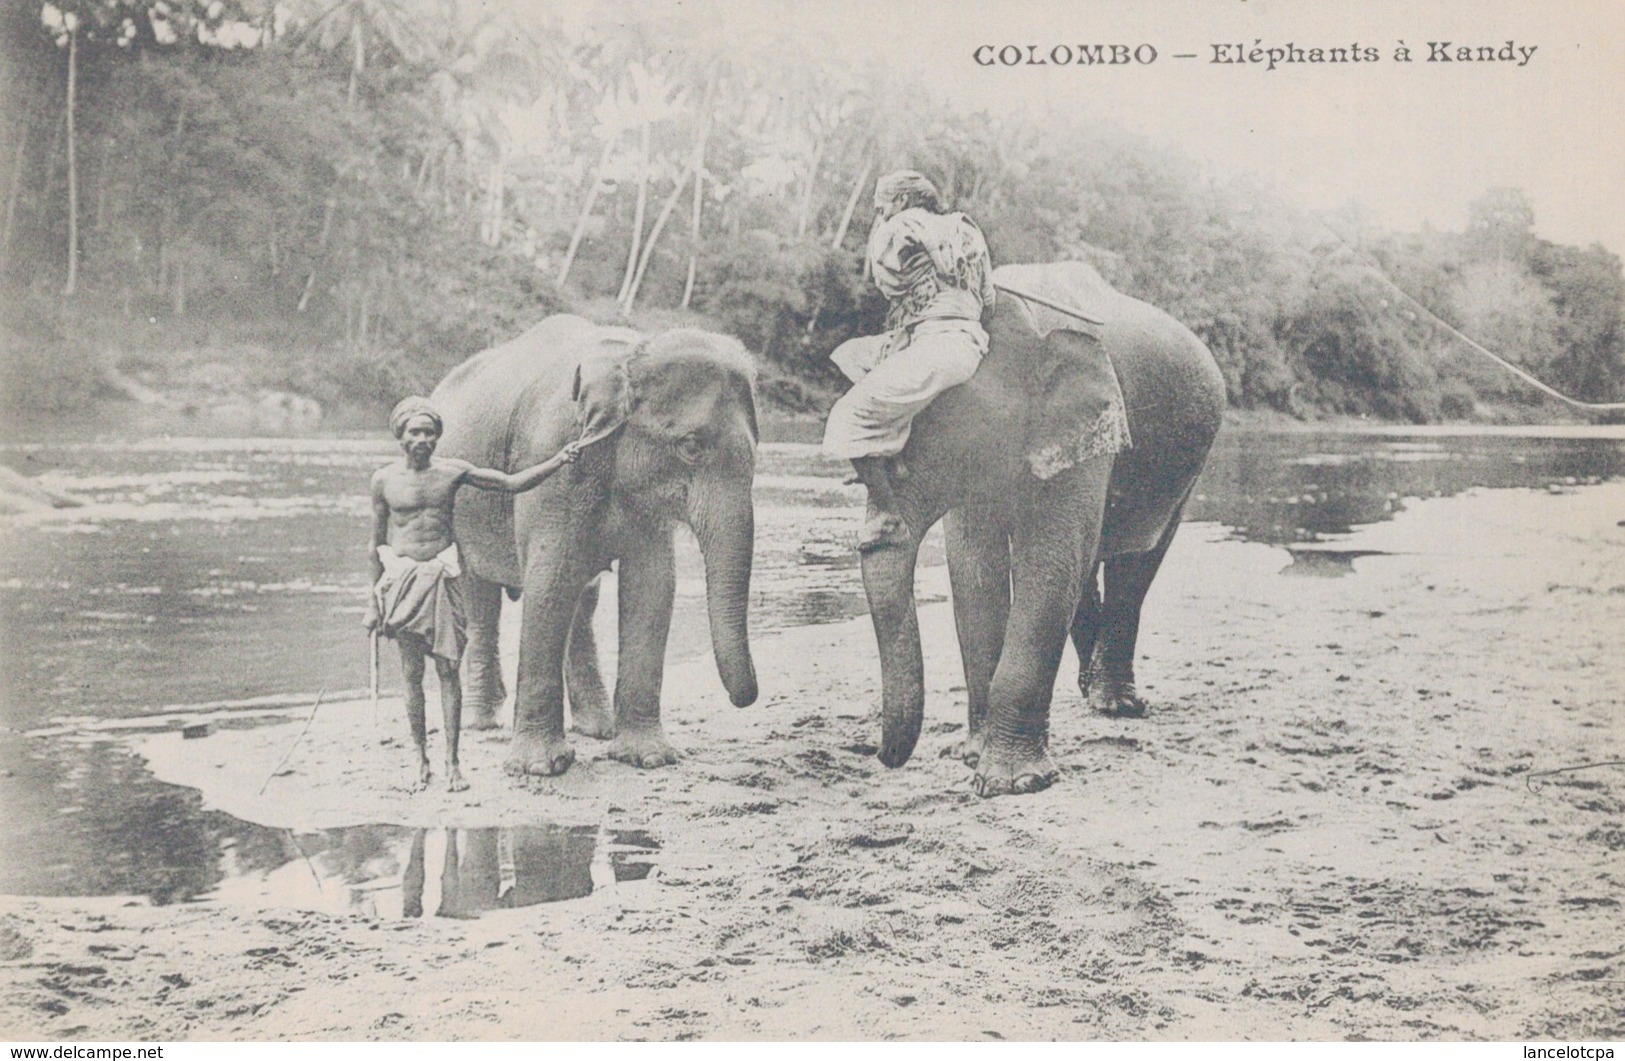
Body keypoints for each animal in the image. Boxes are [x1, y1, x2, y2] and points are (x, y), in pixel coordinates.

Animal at [432, 310, 760, 773]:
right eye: (691, 446)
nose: (743, 699)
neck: (631, 354)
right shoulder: (551, 460)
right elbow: (549, 581)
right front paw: (541, 766)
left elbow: (653, 587)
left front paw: (649, 757)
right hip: (462, 511)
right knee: (483, 597)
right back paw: (483, 723)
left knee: (581, 603)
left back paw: (597, 728)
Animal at [858, 259, 1222, 792]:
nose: (877, 754)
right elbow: (975, 570)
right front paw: (971, 757)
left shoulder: (1089, 422)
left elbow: (1048, 562)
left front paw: (1011, 783)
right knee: (1088, 566)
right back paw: (1091, 689)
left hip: (1188, 468)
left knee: (1136, 561)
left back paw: (1115, 705)